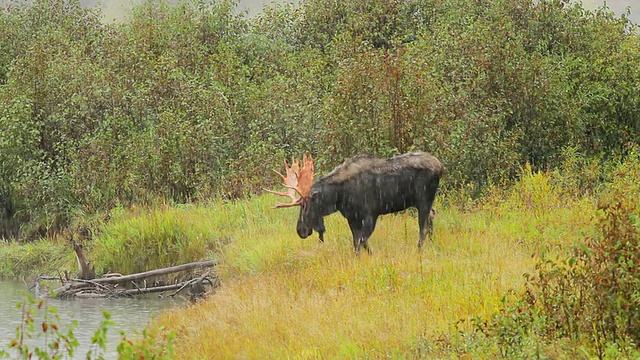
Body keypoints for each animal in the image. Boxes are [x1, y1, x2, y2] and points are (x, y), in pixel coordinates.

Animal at [264, 152, 440, 256]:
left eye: (305, 205)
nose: (300, 230)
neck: (338, 196)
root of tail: (441, 167)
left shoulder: (370, 215)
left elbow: (362, 241)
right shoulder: (352, 217)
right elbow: (356, 242)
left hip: (423, 200)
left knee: (423, 226)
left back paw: (419, 250)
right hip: (423, 202)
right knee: (432, 215)